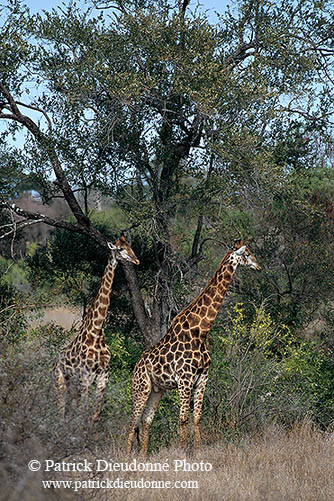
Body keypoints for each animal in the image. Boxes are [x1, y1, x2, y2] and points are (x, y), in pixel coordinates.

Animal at [53, 234, 140, 422]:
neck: (97, 332)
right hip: (61, 381)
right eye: (120, 249)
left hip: (73, 387)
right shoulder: (86, 378)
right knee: (61, 412)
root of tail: (56, 359)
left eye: (130, 246)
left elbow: (94, 416)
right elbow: (85, 413)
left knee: (69, 412)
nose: (136, 260)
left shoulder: (102, 379)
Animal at [128, 240, 260, 456]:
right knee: (133, 421)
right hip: (141, 387)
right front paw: (182, 451)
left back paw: (142, 456)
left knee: (146, 420)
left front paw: (197, 451)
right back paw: (126, 454)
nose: (258, 266)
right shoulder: (185, 379)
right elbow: (182, 418)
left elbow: (197, 418)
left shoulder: (202, 377)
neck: (200, 331)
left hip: (157, 390)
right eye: (247, 254)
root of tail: (136, 367)